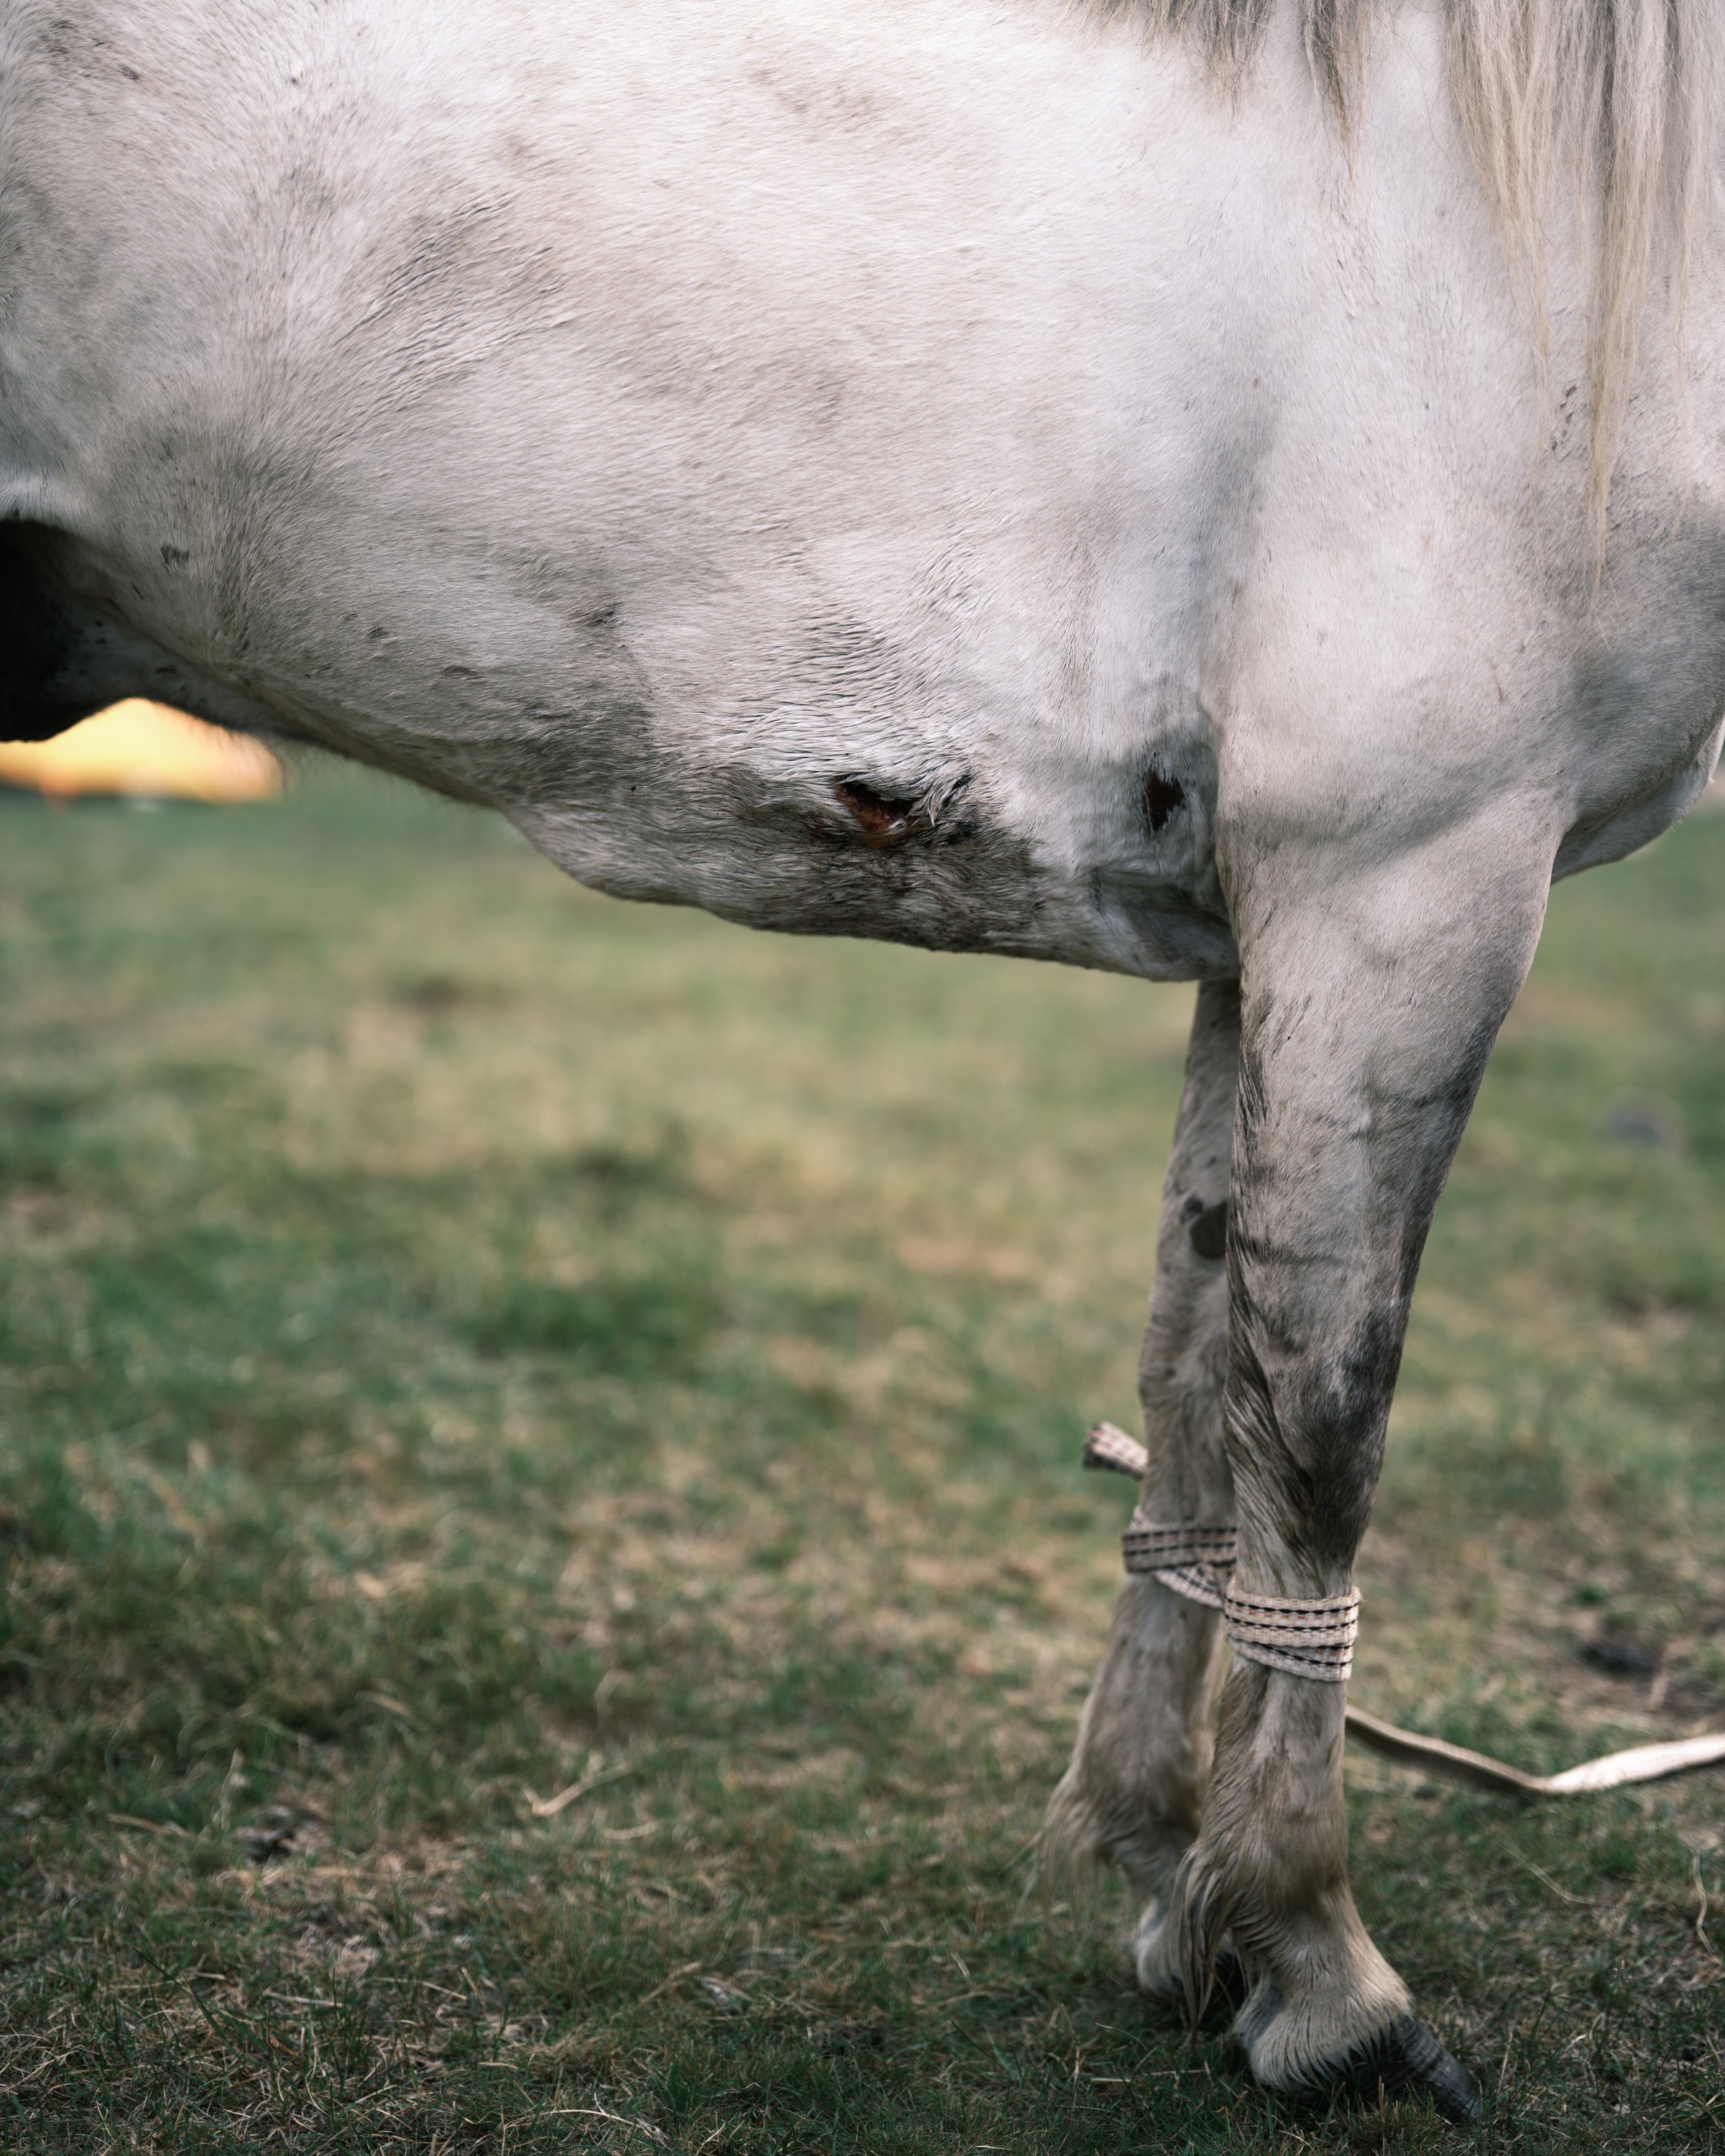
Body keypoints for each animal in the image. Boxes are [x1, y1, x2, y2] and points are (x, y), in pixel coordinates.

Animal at [4, 0, 1724, 2123]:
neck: (1530, 251)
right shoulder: (1411, 883)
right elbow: (1322, 1421)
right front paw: (1319, 1968)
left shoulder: (1268, 925)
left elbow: (1196, 1372)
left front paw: (1170, 1880)